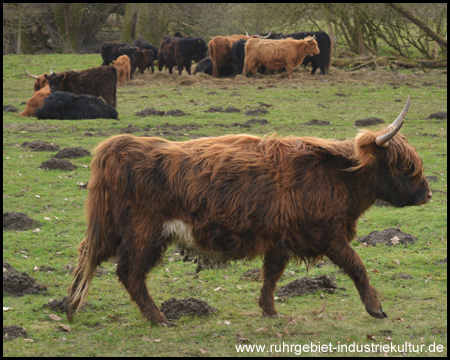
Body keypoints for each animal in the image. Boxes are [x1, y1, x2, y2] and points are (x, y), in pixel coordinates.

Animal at [65, 97, 430, 324]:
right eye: (404, 166)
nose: (427, 193)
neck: (338, 175)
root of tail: (120, 145)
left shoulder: (281, 239)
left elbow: (271, 276)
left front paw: (270, 312)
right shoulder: (328, 235)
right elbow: (357, 267)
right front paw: (376, 309)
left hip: (113, 229)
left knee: (88, 257)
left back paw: (69, 308)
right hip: (143, 233)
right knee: (130, 274)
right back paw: (160, 319)